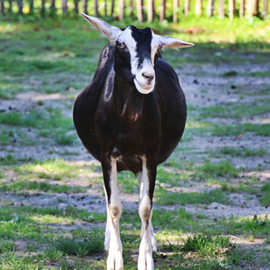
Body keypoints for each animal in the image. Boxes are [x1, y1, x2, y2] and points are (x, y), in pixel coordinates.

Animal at [73, 14, 193, 270]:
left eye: (158, 48)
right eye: (121, 44)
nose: (147, 76)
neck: (128, 121)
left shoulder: (150, 156)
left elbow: (145, 207)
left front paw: (146, 259)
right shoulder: (107, 156)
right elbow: (114, 206)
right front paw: (114, 259)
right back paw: (109, 240)